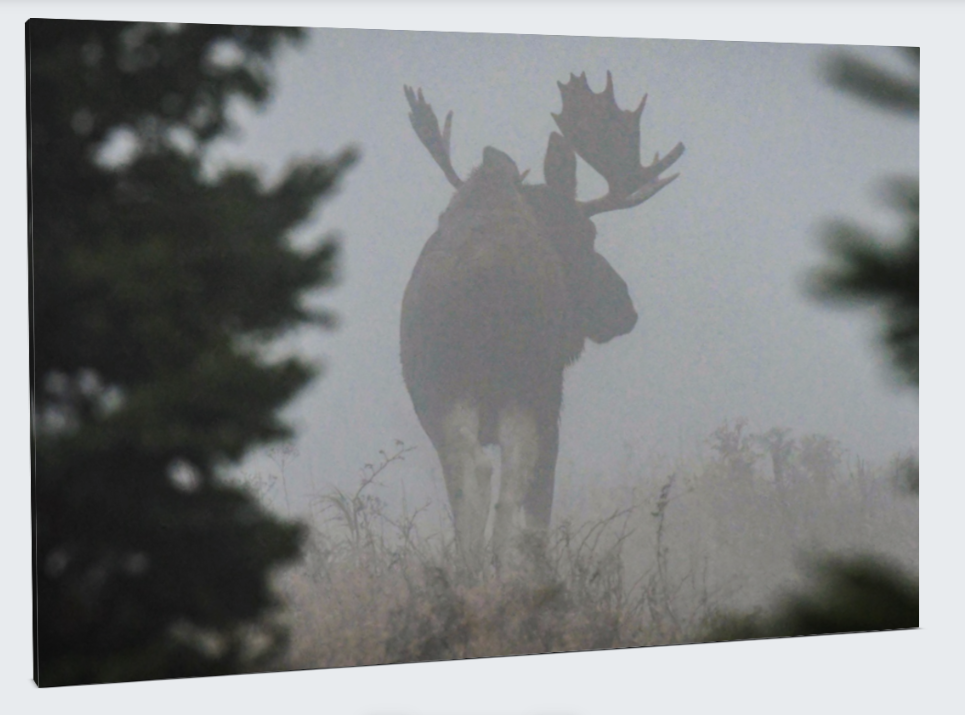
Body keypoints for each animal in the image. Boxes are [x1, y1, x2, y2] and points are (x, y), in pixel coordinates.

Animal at [400, 72, 684, 577]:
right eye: (588, 234)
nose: (625, 309)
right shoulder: (551, 404)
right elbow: (538, 511)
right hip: (528, 388)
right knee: (506, 484)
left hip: (443, 394)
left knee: (467, 476)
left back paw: (469, 573)